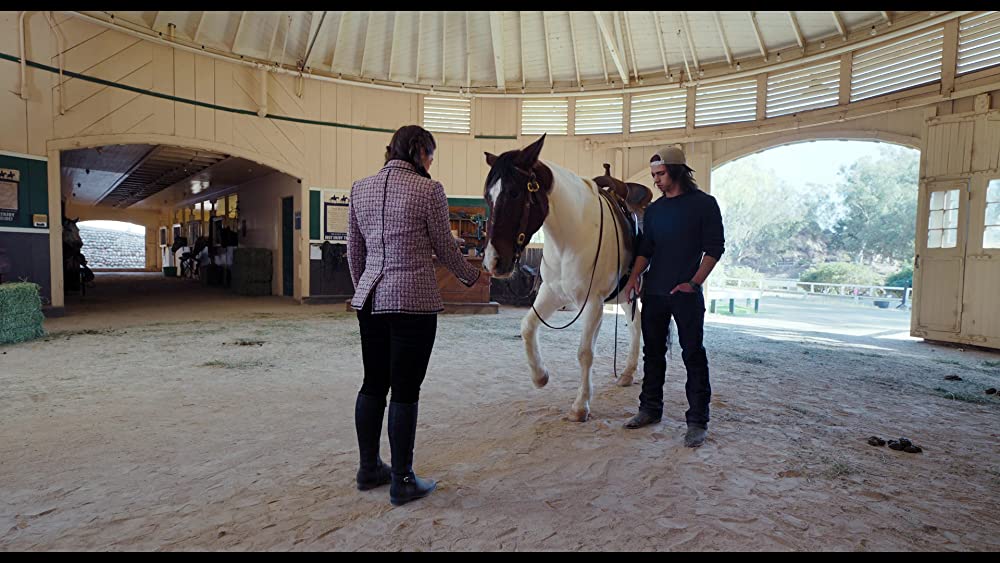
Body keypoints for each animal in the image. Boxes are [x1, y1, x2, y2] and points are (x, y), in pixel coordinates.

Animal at [482, 135, 640, 424]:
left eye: (514, 193)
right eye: (488, 195)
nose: (493, 261)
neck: (572, 236)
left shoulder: (593, 303)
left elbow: (585, 352)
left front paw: (580, 406)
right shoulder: (551, 294)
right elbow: (527, 327)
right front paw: (540, 376)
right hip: (627, 293)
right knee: (637, 325)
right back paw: (626, 374)